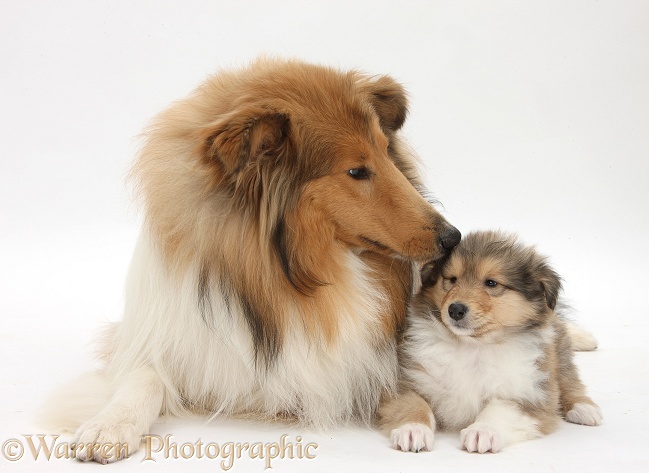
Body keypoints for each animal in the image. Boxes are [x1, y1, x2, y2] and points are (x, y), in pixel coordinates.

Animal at [43, 58, 460, 460]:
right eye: (356, 171)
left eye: (387, 153)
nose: (452, 237)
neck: (294, 278)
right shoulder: (156, 337)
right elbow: (142, 378)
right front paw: (109, 426)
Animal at [378, 230, 600, 452]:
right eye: (452, 279)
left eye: (491, 283)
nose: (455, 309)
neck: (472, 346)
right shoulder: (404, 380)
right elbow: (414, 404)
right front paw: (412, 430)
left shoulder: (530, 393)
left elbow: (500, 409)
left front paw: (482, 431)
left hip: (558, 355)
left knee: (570, 379)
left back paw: (585, 409)